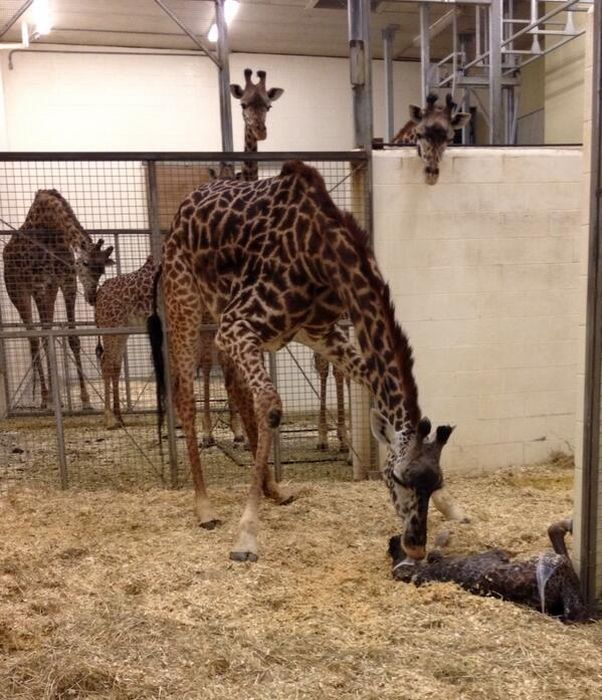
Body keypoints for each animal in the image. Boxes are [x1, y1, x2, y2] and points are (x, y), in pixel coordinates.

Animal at [148, 160, 466, 564]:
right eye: (398, 479)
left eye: (434, 480)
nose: (415, 545)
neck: (324, 256)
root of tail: (181, 212)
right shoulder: (237, 324)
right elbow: (272, 405)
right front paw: (246, 536)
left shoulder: (319, 333)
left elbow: (368, 382)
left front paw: (451, 505)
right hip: (185, 299)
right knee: (186, 394)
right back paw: (204, 506)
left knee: (236, 388)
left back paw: (272, 489)